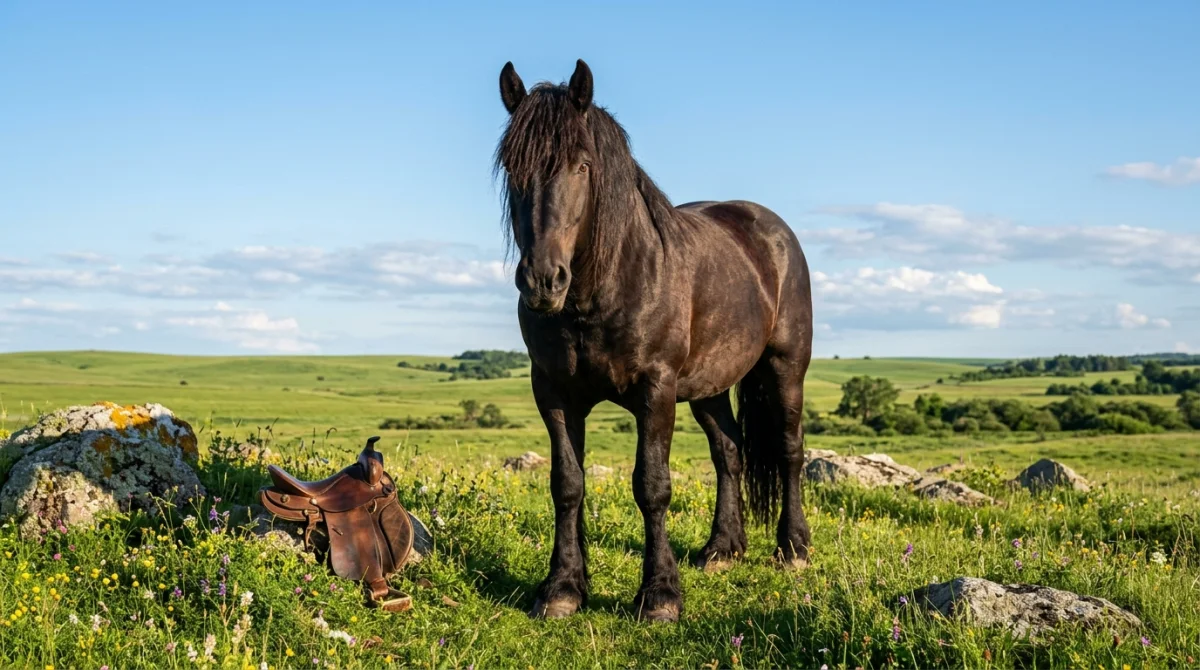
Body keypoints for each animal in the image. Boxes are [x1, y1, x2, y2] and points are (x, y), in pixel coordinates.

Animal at [493, 59, 814, 623]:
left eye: (582, 166)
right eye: (513, 168)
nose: (542, 282)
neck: (602, 289)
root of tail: (771, 230)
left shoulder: (656, 390)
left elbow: (652, 486)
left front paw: (661, 595)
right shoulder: (553, 393)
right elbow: (567, 484)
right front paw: (562, 588)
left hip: (785, 367)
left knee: (790, 450)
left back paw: (793, 548)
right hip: (710, 386)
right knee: (729, 453)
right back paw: (722, 550)